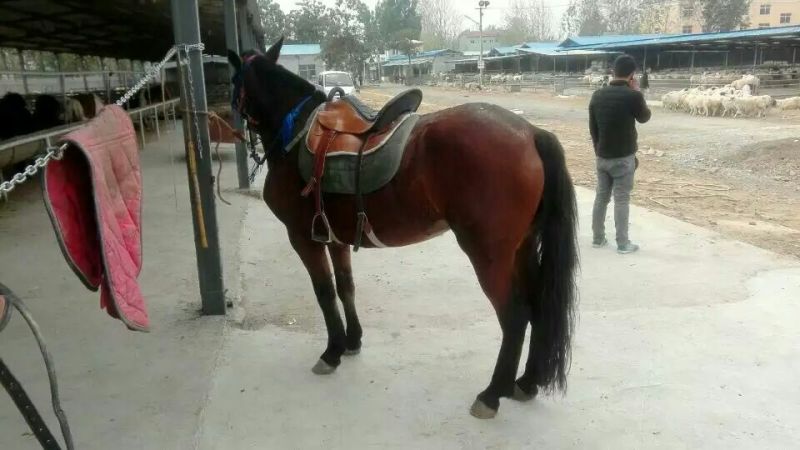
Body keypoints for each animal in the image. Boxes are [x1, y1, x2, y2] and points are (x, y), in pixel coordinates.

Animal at [228, 38, 579, 419]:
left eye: (233, 81)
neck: (295, 135)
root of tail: (530, 133)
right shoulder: (334, 238)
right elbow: (345, 287)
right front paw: (352, 341)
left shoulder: (303, 238)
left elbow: (324, 293)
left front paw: (332, 351)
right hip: (522, 250)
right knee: (537, 307)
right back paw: (527, 382)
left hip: (490, 257)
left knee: (514, 317)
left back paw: (491, 394)